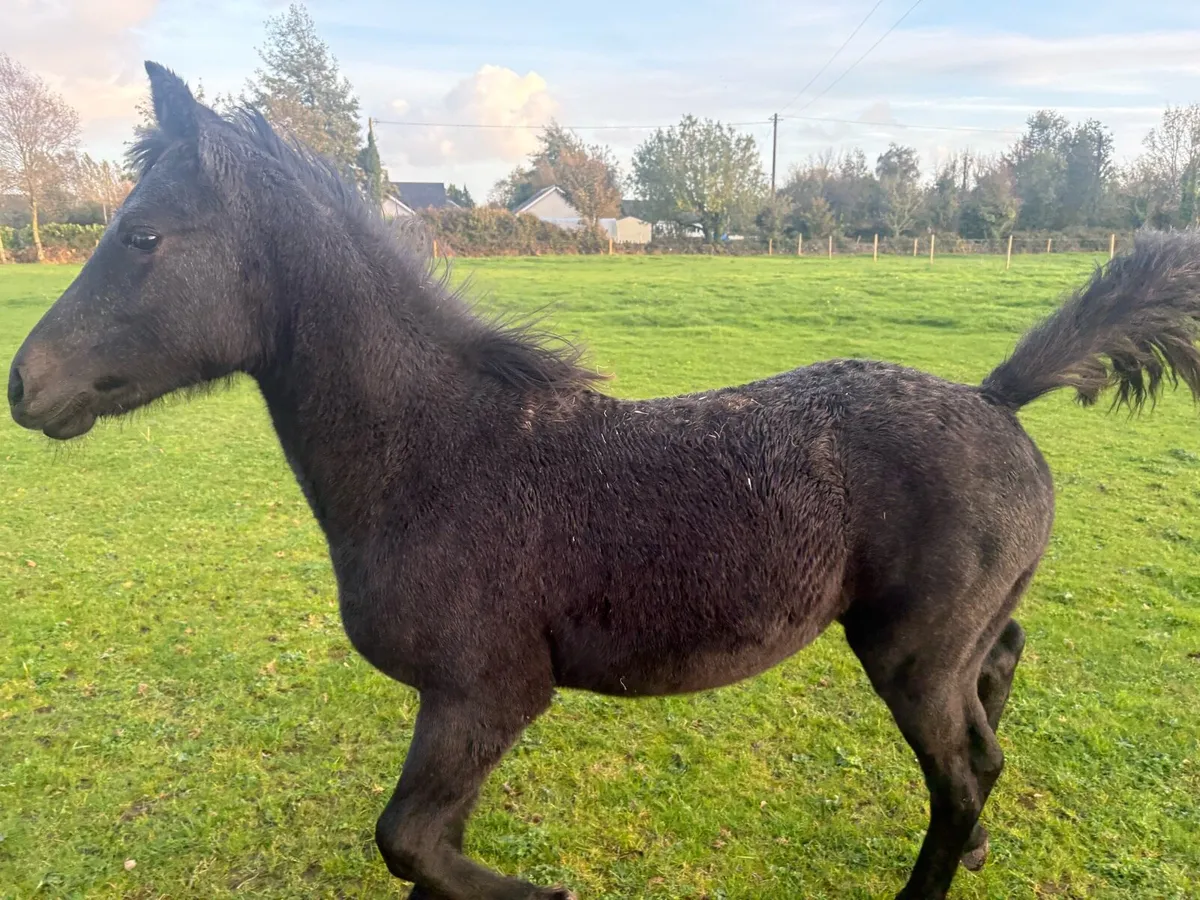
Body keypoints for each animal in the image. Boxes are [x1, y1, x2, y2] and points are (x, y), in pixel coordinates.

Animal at [9, 63, 1200, 900]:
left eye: (142, 236)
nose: (26, 384)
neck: (440, 458)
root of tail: (999, 399)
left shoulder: (487, 690)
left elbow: (409, 842)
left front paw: (543, 892)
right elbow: (418, 847)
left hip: (909, 656)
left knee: (962, 775)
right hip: (954, 638)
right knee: (997, 695)